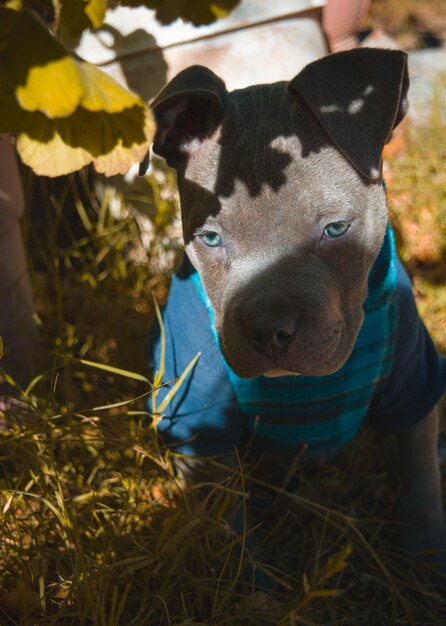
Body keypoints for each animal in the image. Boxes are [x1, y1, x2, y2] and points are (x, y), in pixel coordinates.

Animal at [140, 46, 446, 560]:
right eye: (210, 238)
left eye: (336, 229)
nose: (268, 329)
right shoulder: (201, 425)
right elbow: (227, 534)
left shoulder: (413, 387)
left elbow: (422, 488)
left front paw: (425, 566)